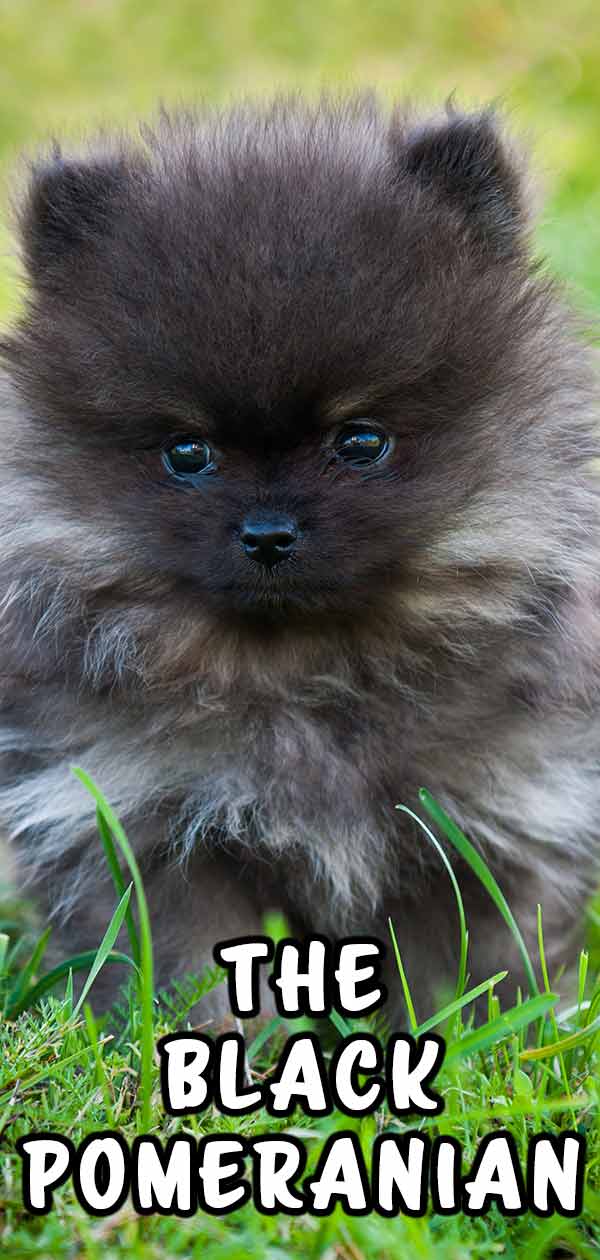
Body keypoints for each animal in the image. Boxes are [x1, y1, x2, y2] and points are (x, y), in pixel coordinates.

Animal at [0, 100, 597, 1023]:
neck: (306, 672)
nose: (268, 533)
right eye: (186, 453)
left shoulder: (489, 814)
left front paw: (464, 1035)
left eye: (361, 441)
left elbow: (465, 969)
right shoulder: (145, 823)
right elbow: (190, 968)